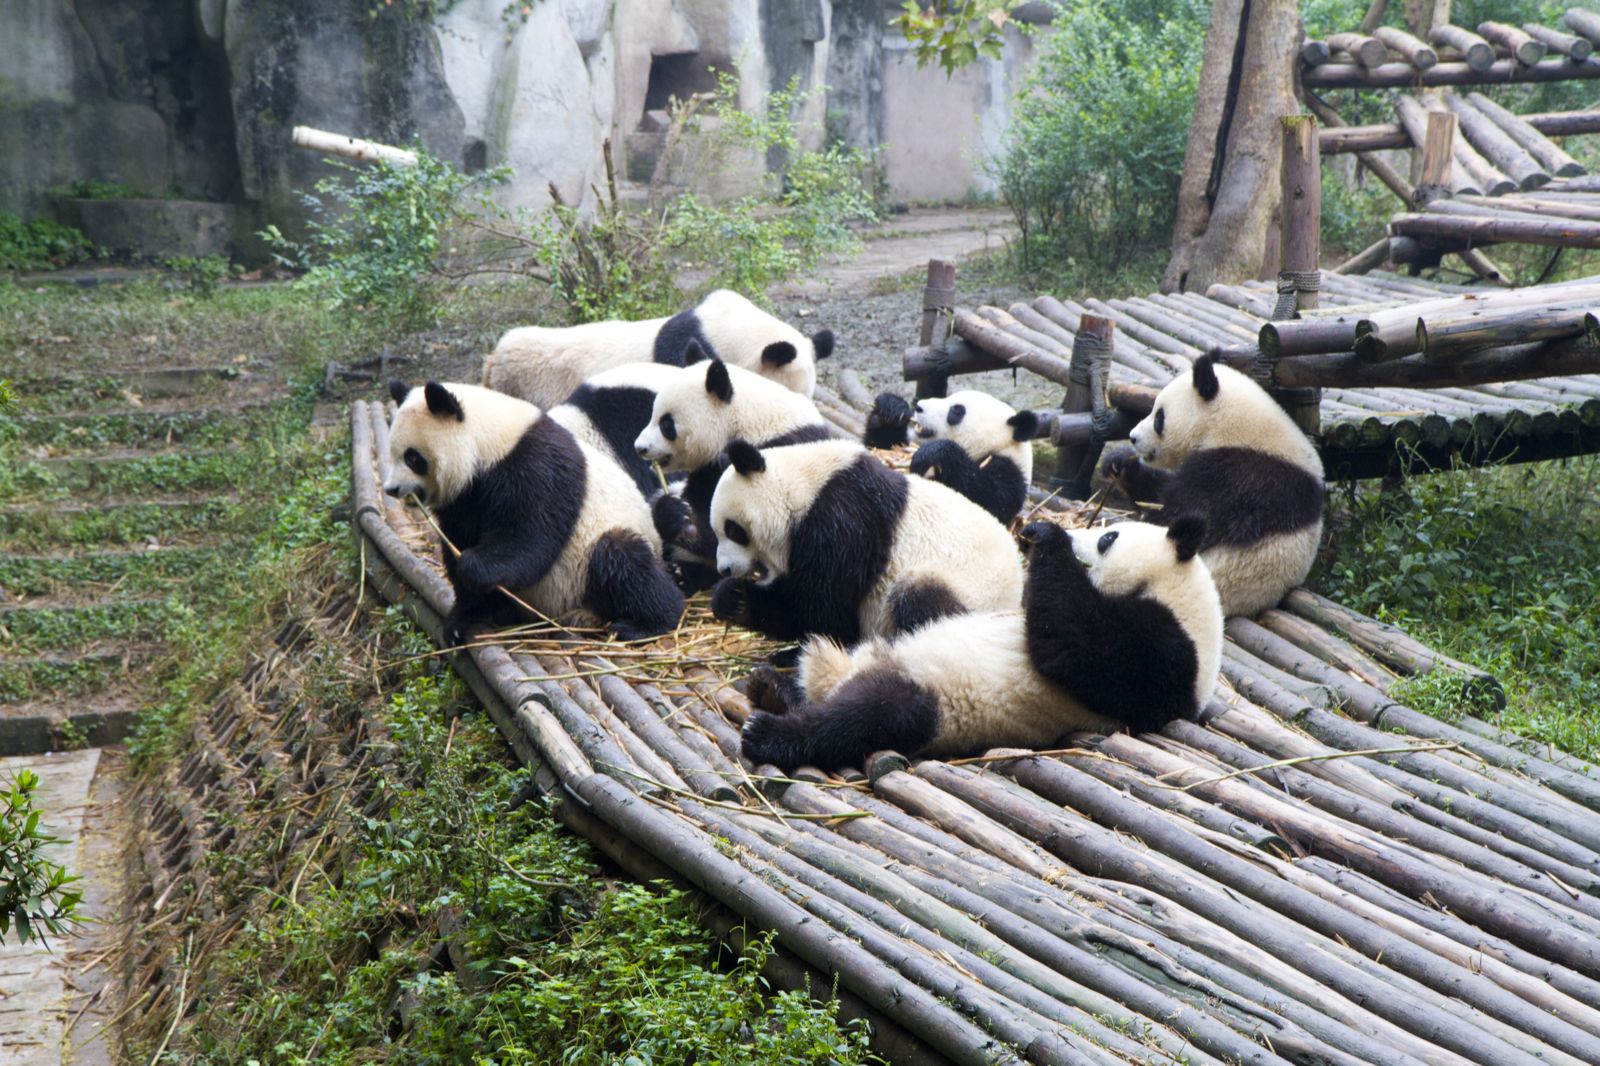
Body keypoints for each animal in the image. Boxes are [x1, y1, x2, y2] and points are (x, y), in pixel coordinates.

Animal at [384, 380, 684, 645]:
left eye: (412, 457)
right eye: (393, 454)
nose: (391, 489)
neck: (489, 440)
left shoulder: (536, 467)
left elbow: (530, 537)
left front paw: (472, 566)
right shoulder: (465, 499)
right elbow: (459, 539)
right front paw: (462, 619)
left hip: (598, 555)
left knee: (623, 560)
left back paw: (646, 623)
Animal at [706, 438, 1025, 647]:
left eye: (733, 530)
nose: (724, 569)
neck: (802, 488)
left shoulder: (842, 519)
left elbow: (822, 610)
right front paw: (732, 597)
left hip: (971, 589)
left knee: (919, 601)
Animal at [739, 517, 1223, 771]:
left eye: (1108, 537)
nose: (1078, 534)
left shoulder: (1167, 656)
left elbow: (1076, 646)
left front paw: (1047, 536)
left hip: (931, 703)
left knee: (865, 717)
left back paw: (766, 731)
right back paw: (771, 685)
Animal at [1101, 350, 1325, 618]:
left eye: (1159, 417)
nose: (1133, 437)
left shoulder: (1241, 475)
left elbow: (1182, 513)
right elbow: (1157, 492)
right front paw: (1119, 464)